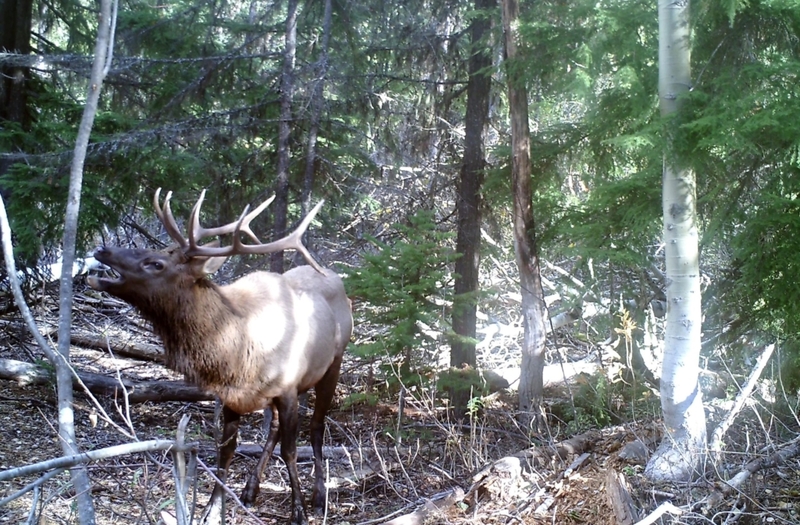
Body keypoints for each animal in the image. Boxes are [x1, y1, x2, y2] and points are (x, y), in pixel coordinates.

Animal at [86, 188, 352, 524]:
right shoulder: (232, 395)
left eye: (155, 263)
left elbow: (291, 450)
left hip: (333, 364)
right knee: (274, 430)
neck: (237, 351)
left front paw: (299, 511)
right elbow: (226, 451)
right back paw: (251, 490)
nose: (102, 249)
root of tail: (337, 278)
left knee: (317, 428)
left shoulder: (288, 388)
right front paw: (212, 509)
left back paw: (318, 497)